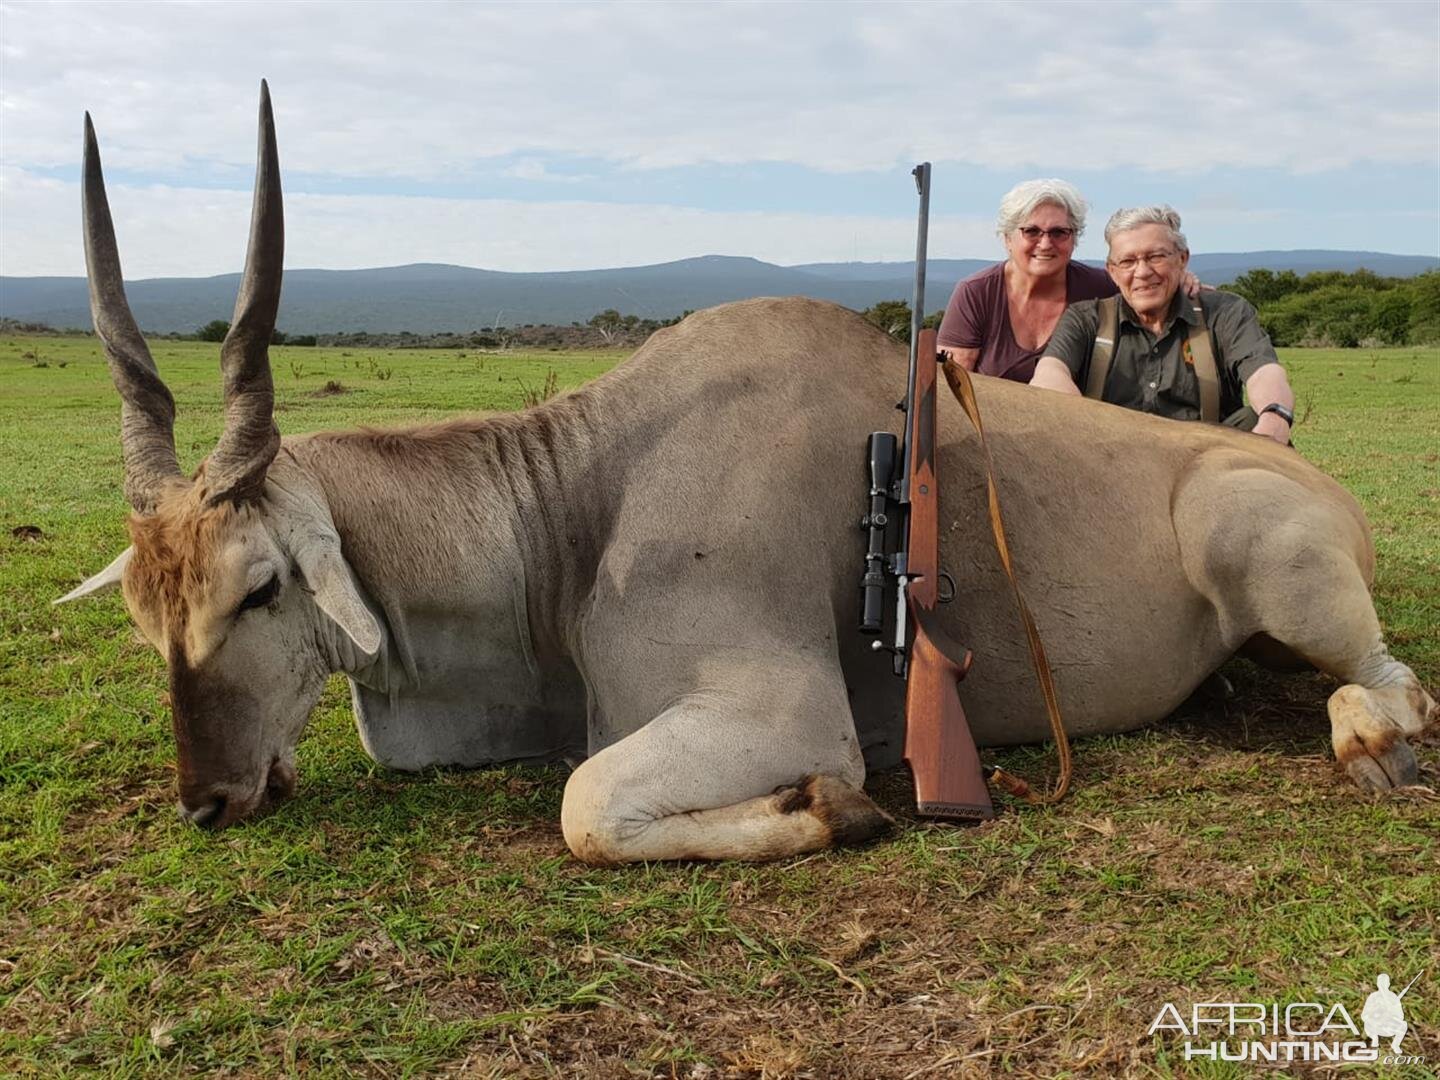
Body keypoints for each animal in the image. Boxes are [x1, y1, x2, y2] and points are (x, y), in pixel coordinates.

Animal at [59, 84, 1428, 869]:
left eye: (262, 587)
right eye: (143, 610)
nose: (207, 801)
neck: (578, 506)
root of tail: (1329, 493)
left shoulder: (782, 709)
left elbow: (587, 808)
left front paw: (841, 811)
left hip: (1271, 562)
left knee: (1392, 685)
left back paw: (1371, 741)